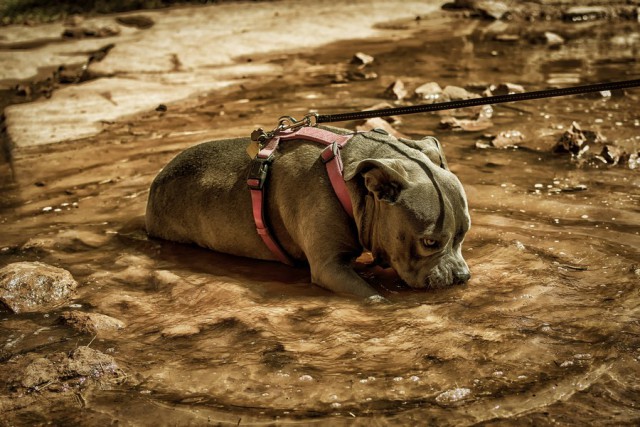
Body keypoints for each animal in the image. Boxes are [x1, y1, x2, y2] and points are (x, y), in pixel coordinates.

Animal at [148, 125, 472, 300]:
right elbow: (374, 297)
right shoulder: (330, 268)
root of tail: (157, 179)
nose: (462, 276)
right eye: (429, 242)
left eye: (463, 235)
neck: (344, 176)